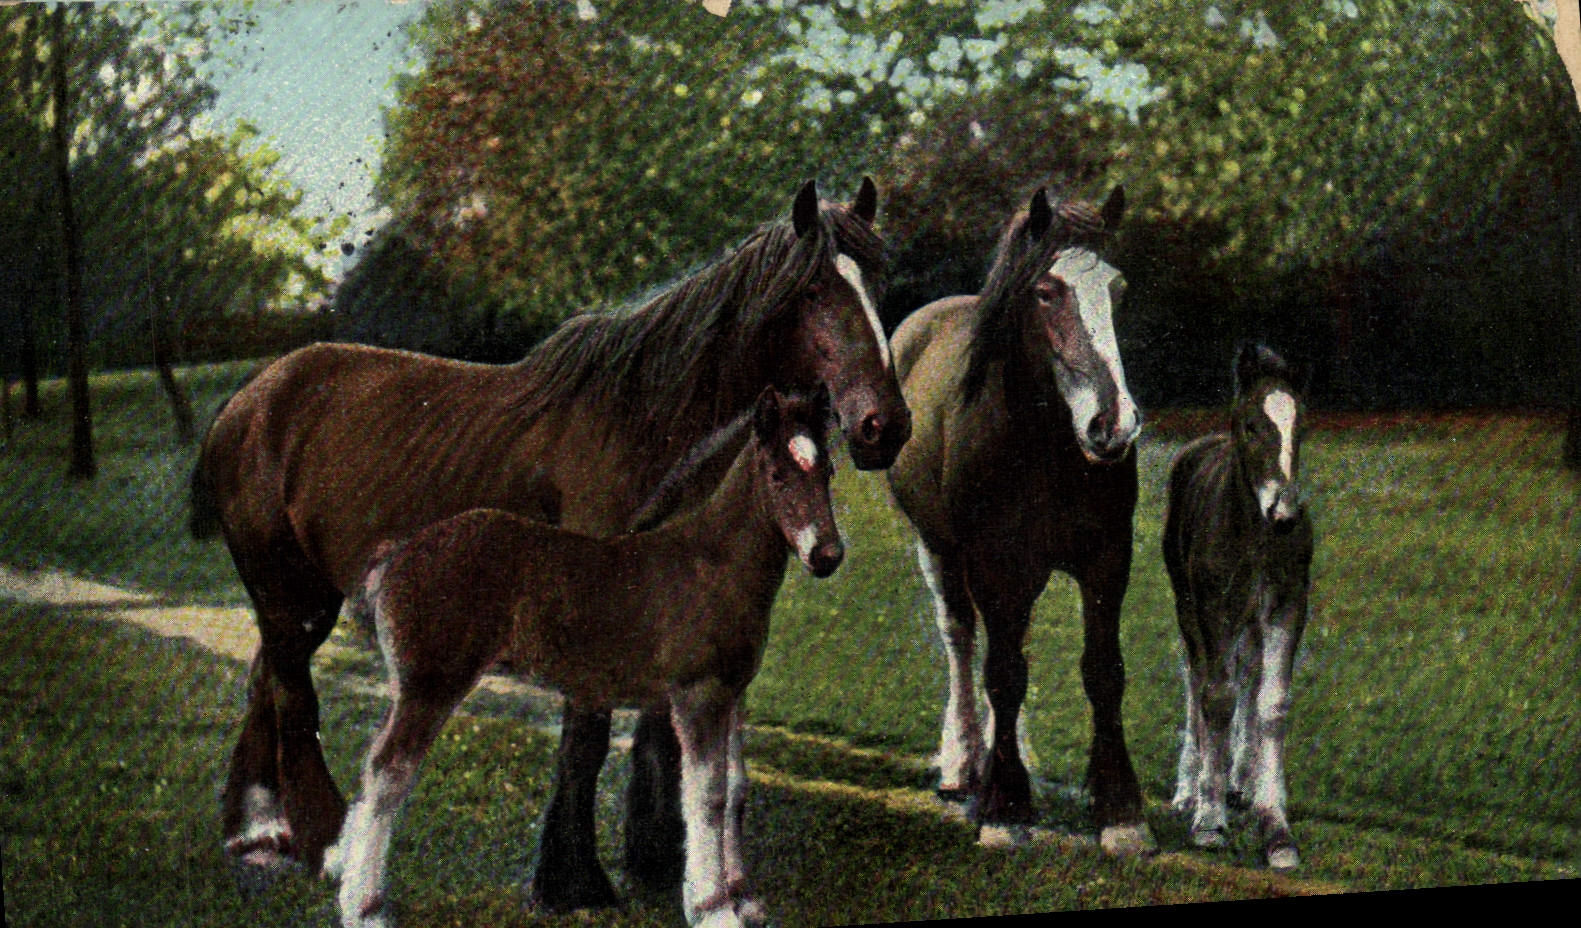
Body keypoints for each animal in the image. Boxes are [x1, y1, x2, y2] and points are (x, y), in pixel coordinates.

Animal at [322, 386, 841, 928]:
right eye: (777, 475)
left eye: (828, 471)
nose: (827, 555)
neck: (713, 563)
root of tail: (398, 554)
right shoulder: (698, 696)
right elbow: (707, 797)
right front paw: (713, 908)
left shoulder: (733, 694)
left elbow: (737, 788)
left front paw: (743, 896)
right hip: (430, 687)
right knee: (387, 775)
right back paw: (364, 908)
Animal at [885, 186, 1154, 855]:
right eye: (1046, 291)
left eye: (1118, 288)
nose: (1113, 424)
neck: (1046, 448)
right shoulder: (993, 564)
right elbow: (1003, 673)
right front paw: (1005, 807)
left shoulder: (1108, 560)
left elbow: (1103, 673)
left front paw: (1121, 812)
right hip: (939, 547)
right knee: (960, 637)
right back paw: (963, 764)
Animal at [1163, 343, 1312, 871]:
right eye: (1250, 425)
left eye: (1300, 425)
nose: (1285, 514)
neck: (1252, 534)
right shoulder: (1212, 606)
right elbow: (1216, 696)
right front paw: (1208, 820)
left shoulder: (1287, 604)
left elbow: (1270, 703)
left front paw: (1276, 828)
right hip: (1189, 606)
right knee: (1196, 678)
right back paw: (1190, 789)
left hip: (1249, 619)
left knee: (1247, 674)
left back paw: (1239, 784)